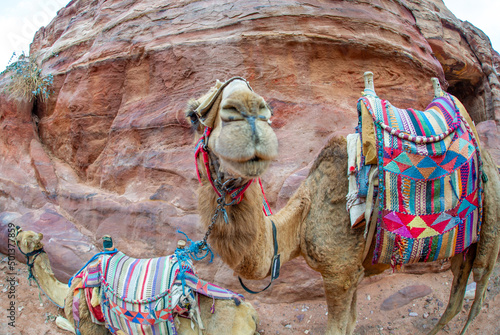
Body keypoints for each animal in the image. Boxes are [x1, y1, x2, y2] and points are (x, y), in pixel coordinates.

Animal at [187, 75, 500, 334]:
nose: (248, 110)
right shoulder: (354, 271)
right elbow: (351, 323)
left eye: (268, 111)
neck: (302, 219)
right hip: (464, 245)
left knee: (478, 293)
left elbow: (338, 328)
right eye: (192, 116)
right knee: (457, 295)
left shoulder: (338, 273)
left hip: (490, 229)